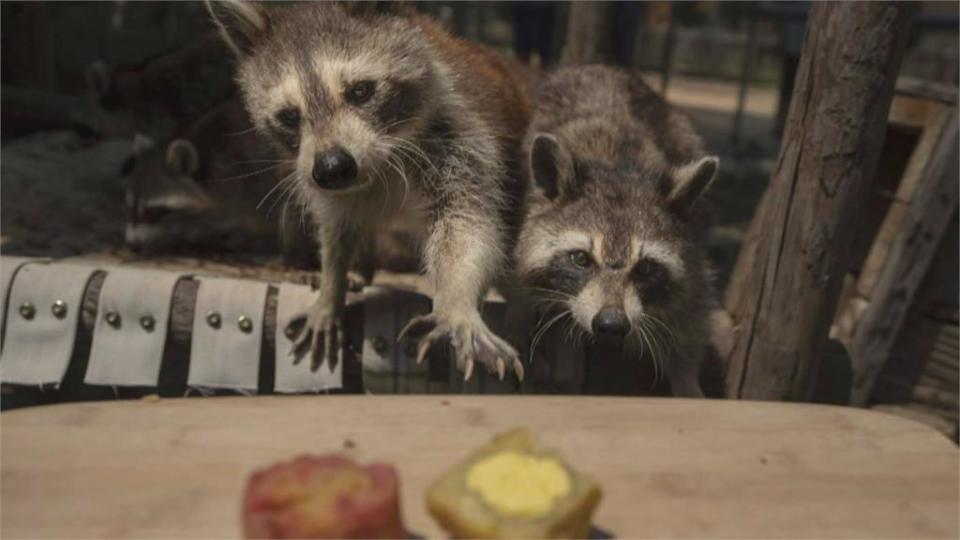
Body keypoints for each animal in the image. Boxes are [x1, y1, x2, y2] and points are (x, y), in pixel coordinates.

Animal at [207, 0, 532, 380]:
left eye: (360, 91)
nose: (333, 167)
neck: (382, 159)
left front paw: (458, 301)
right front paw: (331, 286)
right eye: (289, 115)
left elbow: (466, 228)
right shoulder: (320, 178)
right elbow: (337, 229)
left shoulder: (461, 138)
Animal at [512, 66, 716, 396]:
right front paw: (563, 375)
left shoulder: (692, 248)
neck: (615, 166)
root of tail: (601, 67)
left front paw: (687, 382)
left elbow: (689, 312)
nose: (611, 324)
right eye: (580, 259)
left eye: (645, 267)